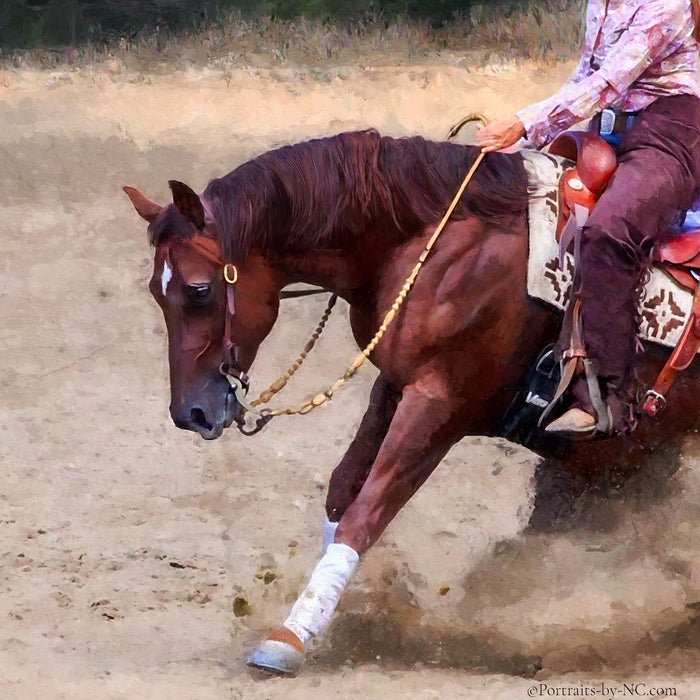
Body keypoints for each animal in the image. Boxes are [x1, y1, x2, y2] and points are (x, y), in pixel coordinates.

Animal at [124, 129, 700, 676]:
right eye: (155, 290)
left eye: (199, 290)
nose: (190, 413)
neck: (433, 244)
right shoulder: (395, 385)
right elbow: (342, 492)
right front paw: (341, 612)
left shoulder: (439, 404)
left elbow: (365, 514)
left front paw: (288, 638)